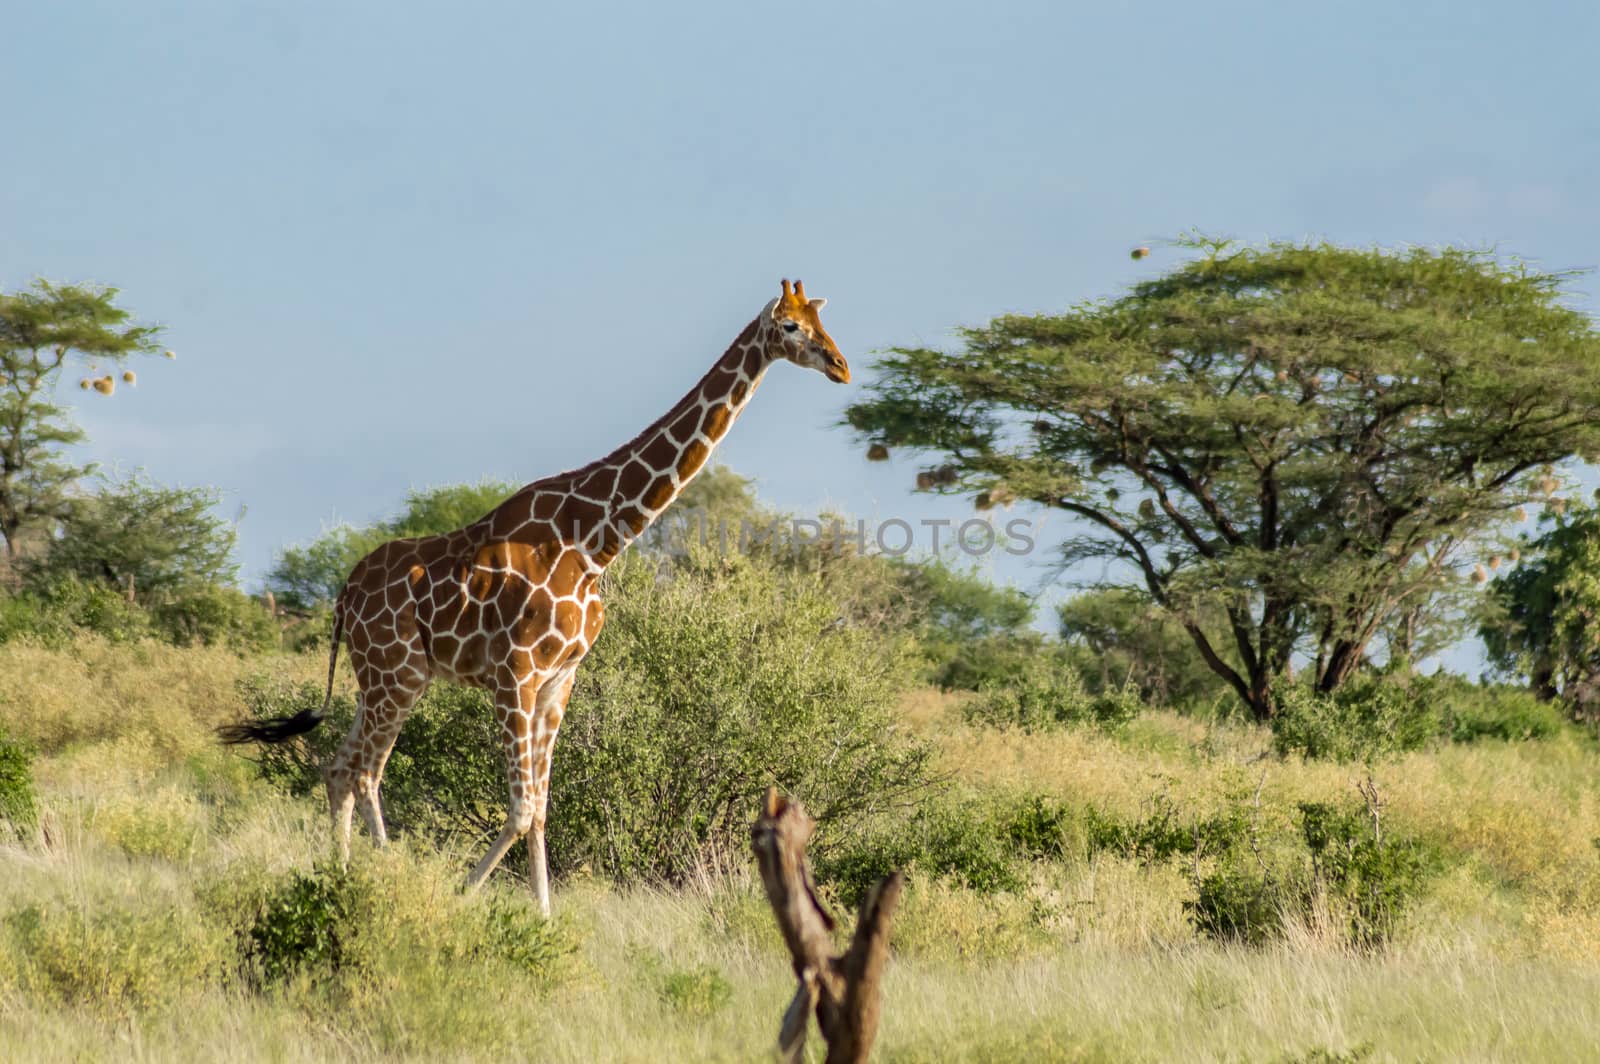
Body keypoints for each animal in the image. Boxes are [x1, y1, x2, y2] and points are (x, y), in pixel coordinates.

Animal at [224, 278, 851, 908]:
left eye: (823, 322)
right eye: (791, 327)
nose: (841, 367)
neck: (596, 540)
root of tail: (343, 595)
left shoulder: (558, 680)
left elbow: (543, 809)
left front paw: (543, 915)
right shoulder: (515, 674)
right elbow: (523, 808)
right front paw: (464, 894)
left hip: (383, 678)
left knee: (340, 769)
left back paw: (346, 873)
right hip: (395, 675)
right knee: (365, 772)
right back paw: (379, 875)